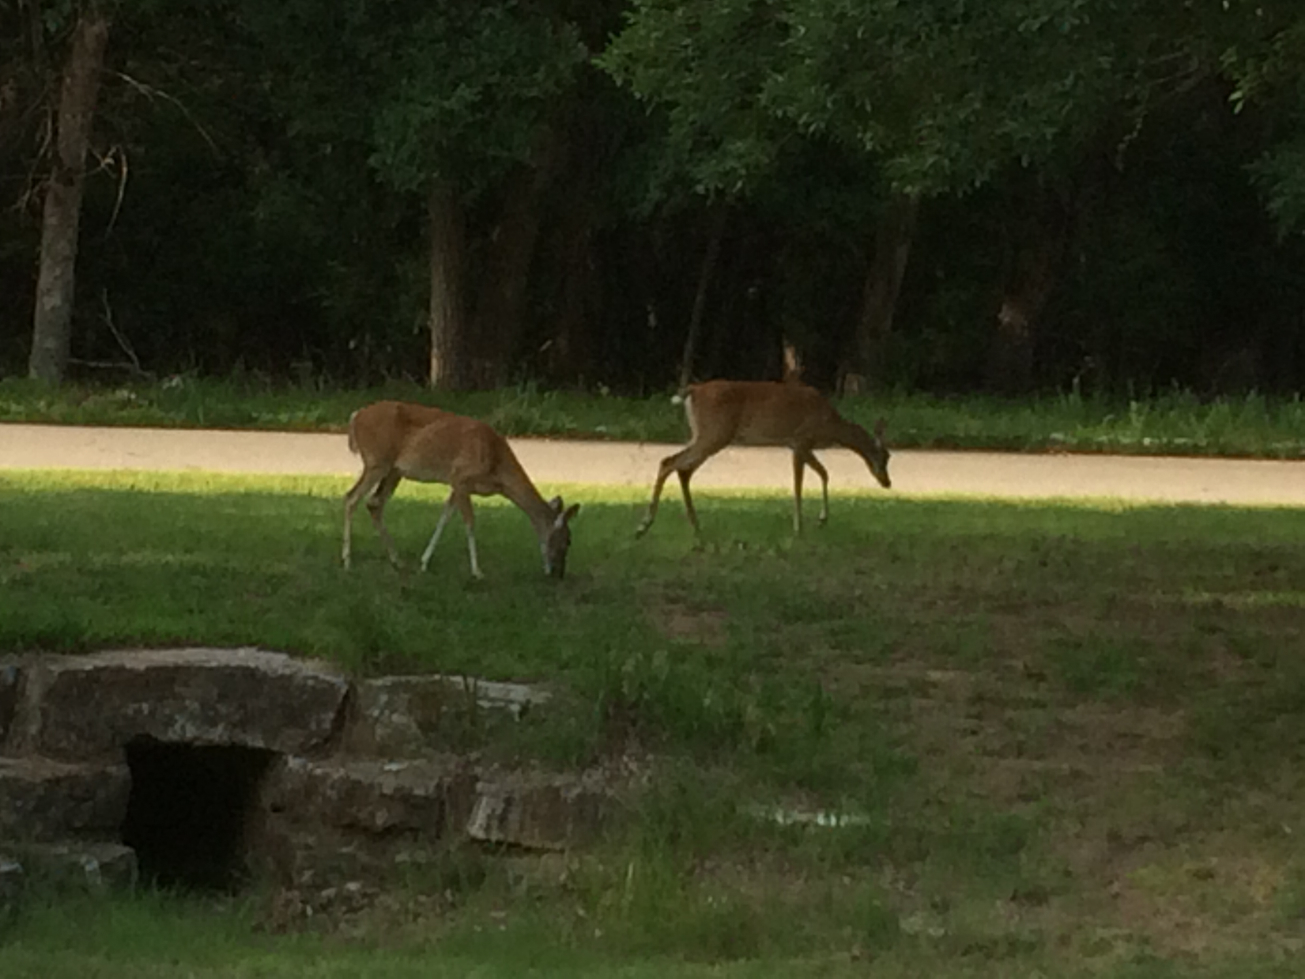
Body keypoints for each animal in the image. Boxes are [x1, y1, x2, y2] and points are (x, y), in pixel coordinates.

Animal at [342, 400, 580, 579]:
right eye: (568, 540)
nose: (559, 574)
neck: (497, 468)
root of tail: (355, 416)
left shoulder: (456, 485)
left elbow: (445, 517)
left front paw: (424, 562)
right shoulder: (461, 476)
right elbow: (470, 522)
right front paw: (477, 571)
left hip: (394, 470)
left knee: (374, 503)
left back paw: (397, 560)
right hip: (377, 461)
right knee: (351, 497)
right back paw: (347, 560)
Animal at [635, 380, 890, 538]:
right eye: (886, 456)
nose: (887, 482)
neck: (831, 426)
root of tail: (693, 390)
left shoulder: (796, 445)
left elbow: (821, 473)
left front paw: (818, 521)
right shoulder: (800, 440)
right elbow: (802, 483)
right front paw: (803, 527)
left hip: (704, 434)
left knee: (682, 469)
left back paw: (696, 528)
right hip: (714, 433)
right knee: (670, 462)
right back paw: (644, 525)